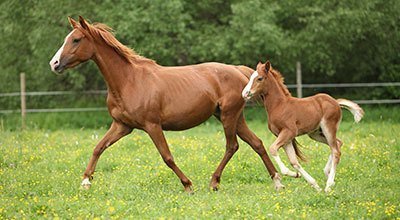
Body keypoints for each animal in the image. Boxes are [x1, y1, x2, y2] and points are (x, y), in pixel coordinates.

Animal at [49, 16, 284, 192]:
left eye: (76, 39)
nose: (54, 64)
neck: (128, 81)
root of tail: (237, 70)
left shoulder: (152, 125)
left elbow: (167, 157)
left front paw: (188, 185)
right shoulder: (122, 126)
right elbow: (98, 147)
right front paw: (85, 181)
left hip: (228, 116)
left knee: (232, 146)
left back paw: (214, 182)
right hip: (233, 117)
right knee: (256, 143)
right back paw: (277, 181)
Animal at [242, 60, 364, 192]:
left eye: (259, 78)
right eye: (251, 77)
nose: (245, 93)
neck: (279, 105)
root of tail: (336, 102)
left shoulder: (289, 132)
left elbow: (273, 149)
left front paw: (291, 173)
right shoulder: (285, 137)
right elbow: (293, 161)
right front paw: (312, 183)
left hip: (328, 128)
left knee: (336, 150)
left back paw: (329, 185)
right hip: (316, 134)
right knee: (338, 143)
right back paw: (327, 172)